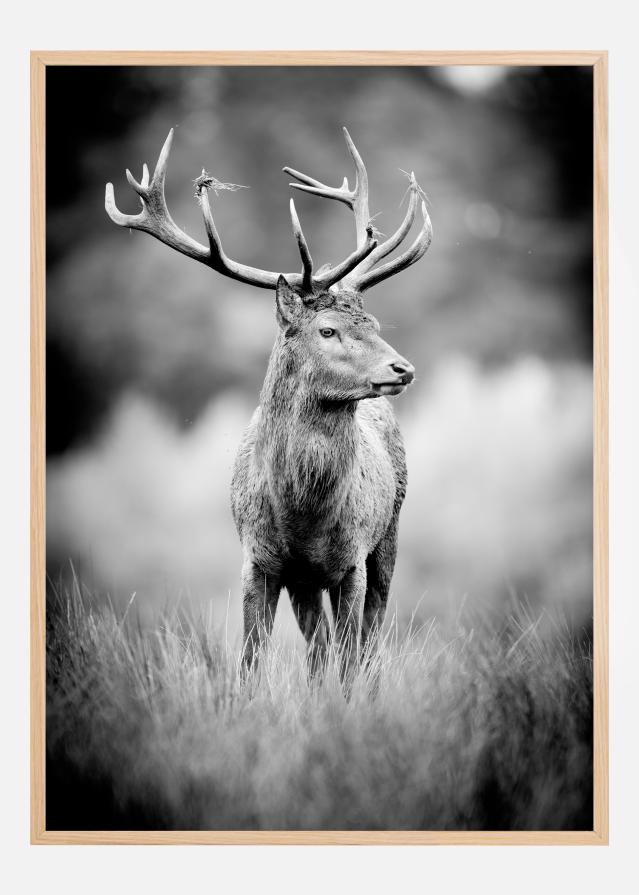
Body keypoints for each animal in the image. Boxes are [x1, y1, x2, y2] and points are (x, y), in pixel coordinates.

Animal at [105, 127, 432, 686]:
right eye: (327, 330)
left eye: (374, 325)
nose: (402, 369)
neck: (304, 517)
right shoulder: (258, 562)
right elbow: (251, 663)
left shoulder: (350, 560)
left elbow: (351, 660)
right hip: (306, 580)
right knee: (318, 649)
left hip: (388, 535)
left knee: (367, 642)